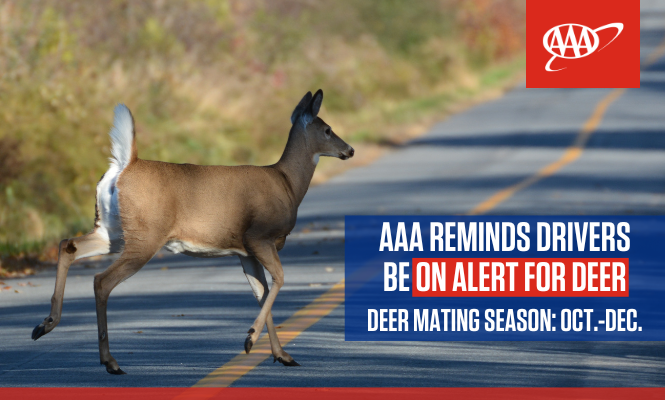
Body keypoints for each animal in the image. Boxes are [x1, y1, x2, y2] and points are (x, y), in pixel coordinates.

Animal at [31, 89, 354, 375]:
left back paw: (45, 325)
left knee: (68, 245)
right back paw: (109, 362)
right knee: (101, 280)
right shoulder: (259, 236)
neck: (287, 183)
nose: (349, 150)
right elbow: (279, 280)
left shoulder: (245, 251)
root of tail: (125, 165)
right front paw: (250, 340)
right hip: (145, 236)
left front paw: (282, 355)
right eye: (327, 130)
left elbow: (261, 293)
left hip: (112, 231)